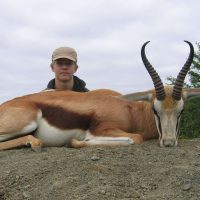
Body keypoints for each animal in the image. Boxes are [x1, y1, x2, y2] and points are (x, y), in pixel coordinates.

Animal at [0, 41, 200, 150]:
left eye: (181, 111)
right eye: (155, 110)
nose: (168, 142)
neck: (130, 111)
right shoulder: (103, 129)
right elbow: (136, 138)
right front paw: (76, 141)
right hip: (27, 123)